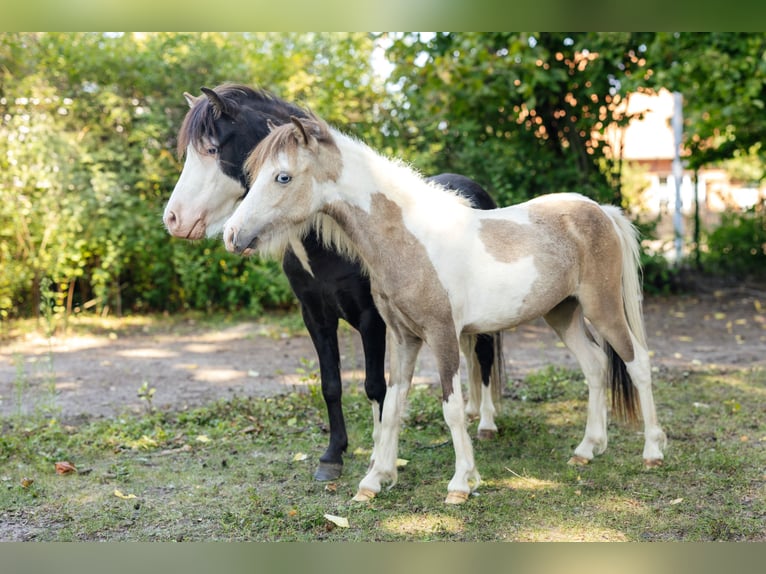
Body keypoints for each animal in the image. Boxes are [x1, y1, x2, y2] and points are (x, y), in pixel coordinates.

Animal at [162, 84, 505, 482]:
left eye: (213, 149)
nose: (174, 219)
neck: (328, 248)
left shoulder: (373, 320)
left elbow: (375, 386)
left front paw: (378, 455)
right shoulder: (315, 317)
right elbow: (331, 385)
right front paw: (333, 455)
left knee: (483, 354)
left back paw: (486, 423)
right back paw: (472, 410)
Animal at [223, 115, 667, 504]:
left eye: (283, 176)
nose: (231, 235)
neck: (412, 240)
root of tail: (601, 211)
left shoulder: (441, 335)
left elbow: (451, 407)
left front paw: (461, 483)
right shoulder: (403, 338)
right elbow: (393, 405)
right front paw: (374, 480)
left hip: (602, 307)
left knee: (637, 363)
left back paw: (652, 452)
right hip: (563, 313)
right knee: (595, 365)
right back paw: (587, 449)